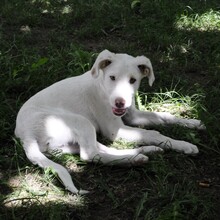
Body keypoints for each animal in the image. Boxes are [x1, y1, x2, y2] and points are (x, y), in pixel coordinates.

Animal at [15, 49, 205, 194]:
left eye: (133, 80)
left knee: (102, 149)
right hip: (79, 121)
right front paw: (184, 144)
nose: (120, 103)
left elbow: (163, 116)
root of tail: (25, 135)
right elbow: (153, 133)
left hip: (70, 142)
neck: (102, 86)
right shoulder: (114, 130)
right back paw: (134, 160)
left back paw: (145, 152)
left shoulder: (132, 115)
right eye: (112, 77)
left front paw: (192, 123)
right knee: (90, 154)